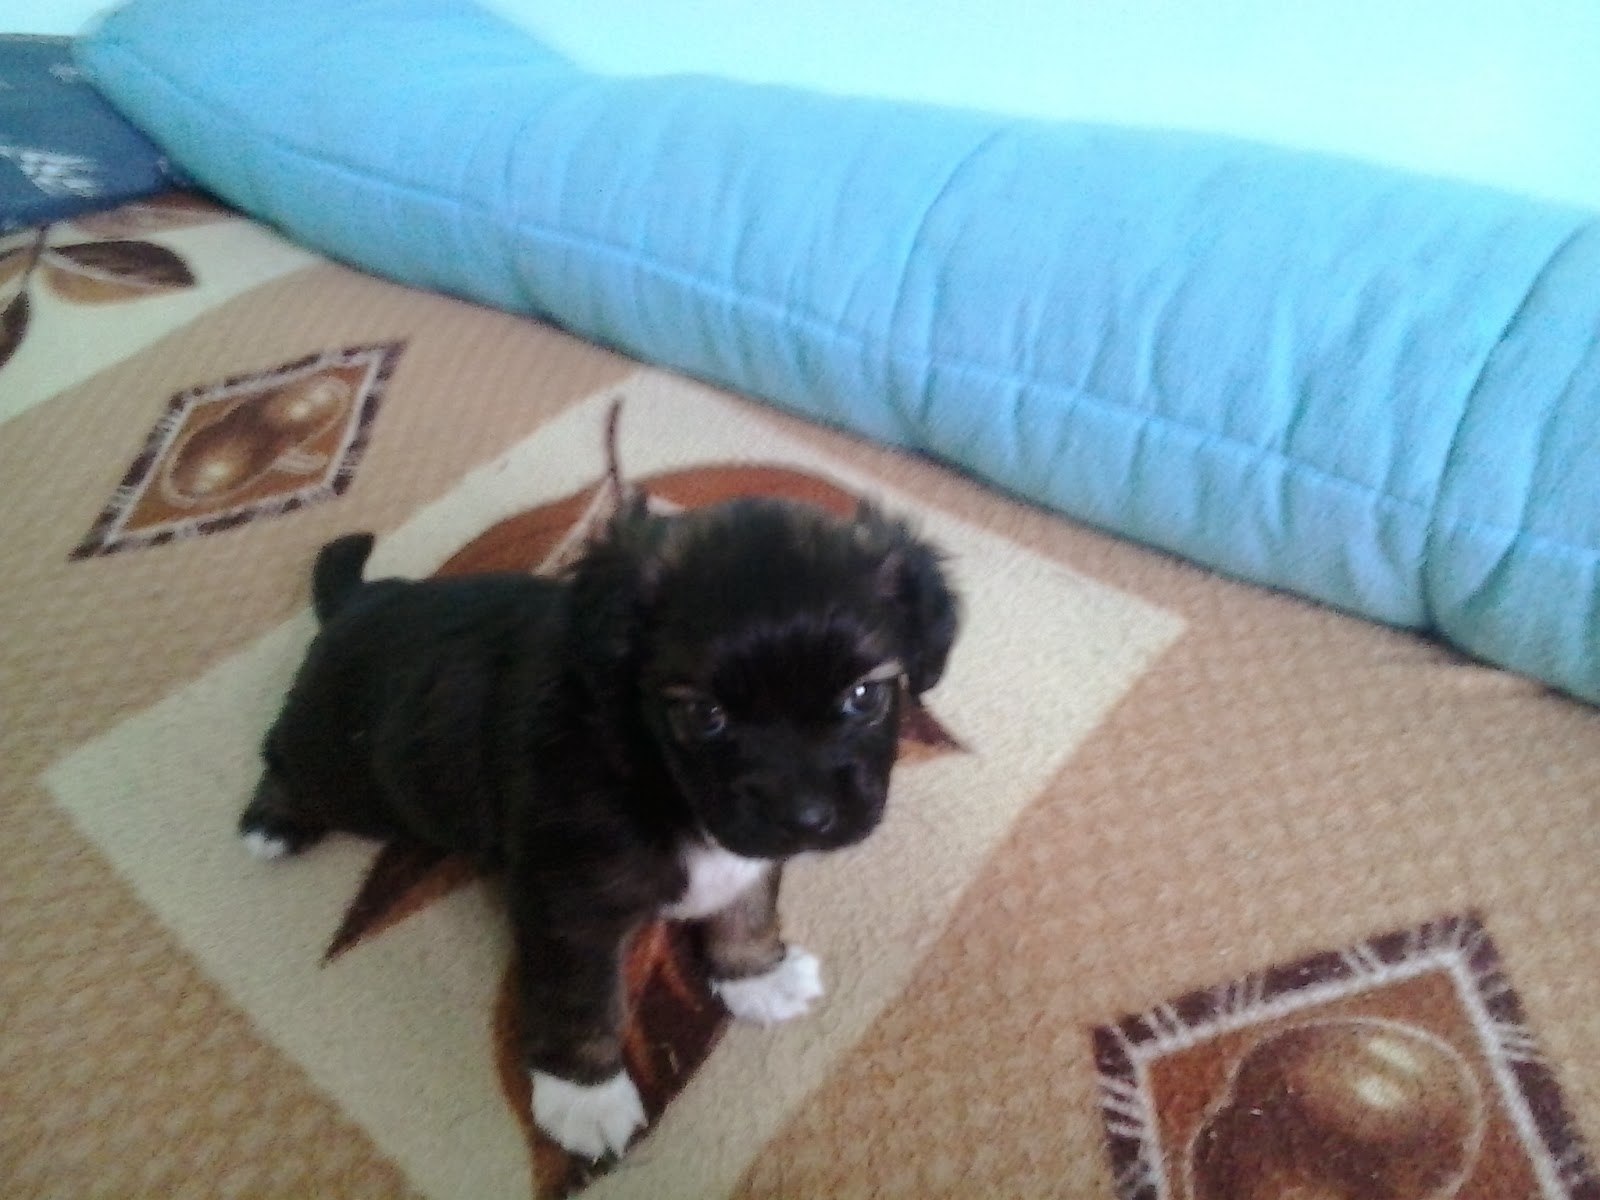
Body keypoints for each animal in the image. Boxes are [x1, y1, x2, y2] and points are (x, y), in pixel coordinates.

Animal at [240, 463, 959, 1159]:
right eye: (705, 716)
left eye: (865, 696)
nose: (807, 818)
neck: (655, 771)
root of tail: (356, 601)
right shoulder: (571, 904)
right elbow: (582, 999)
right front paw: (585, 1097)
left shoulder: (745, 853)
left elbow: (745, 906)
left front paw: (757, 975)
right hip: (347, 774)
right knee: (279, 752)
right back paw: (272, 821)